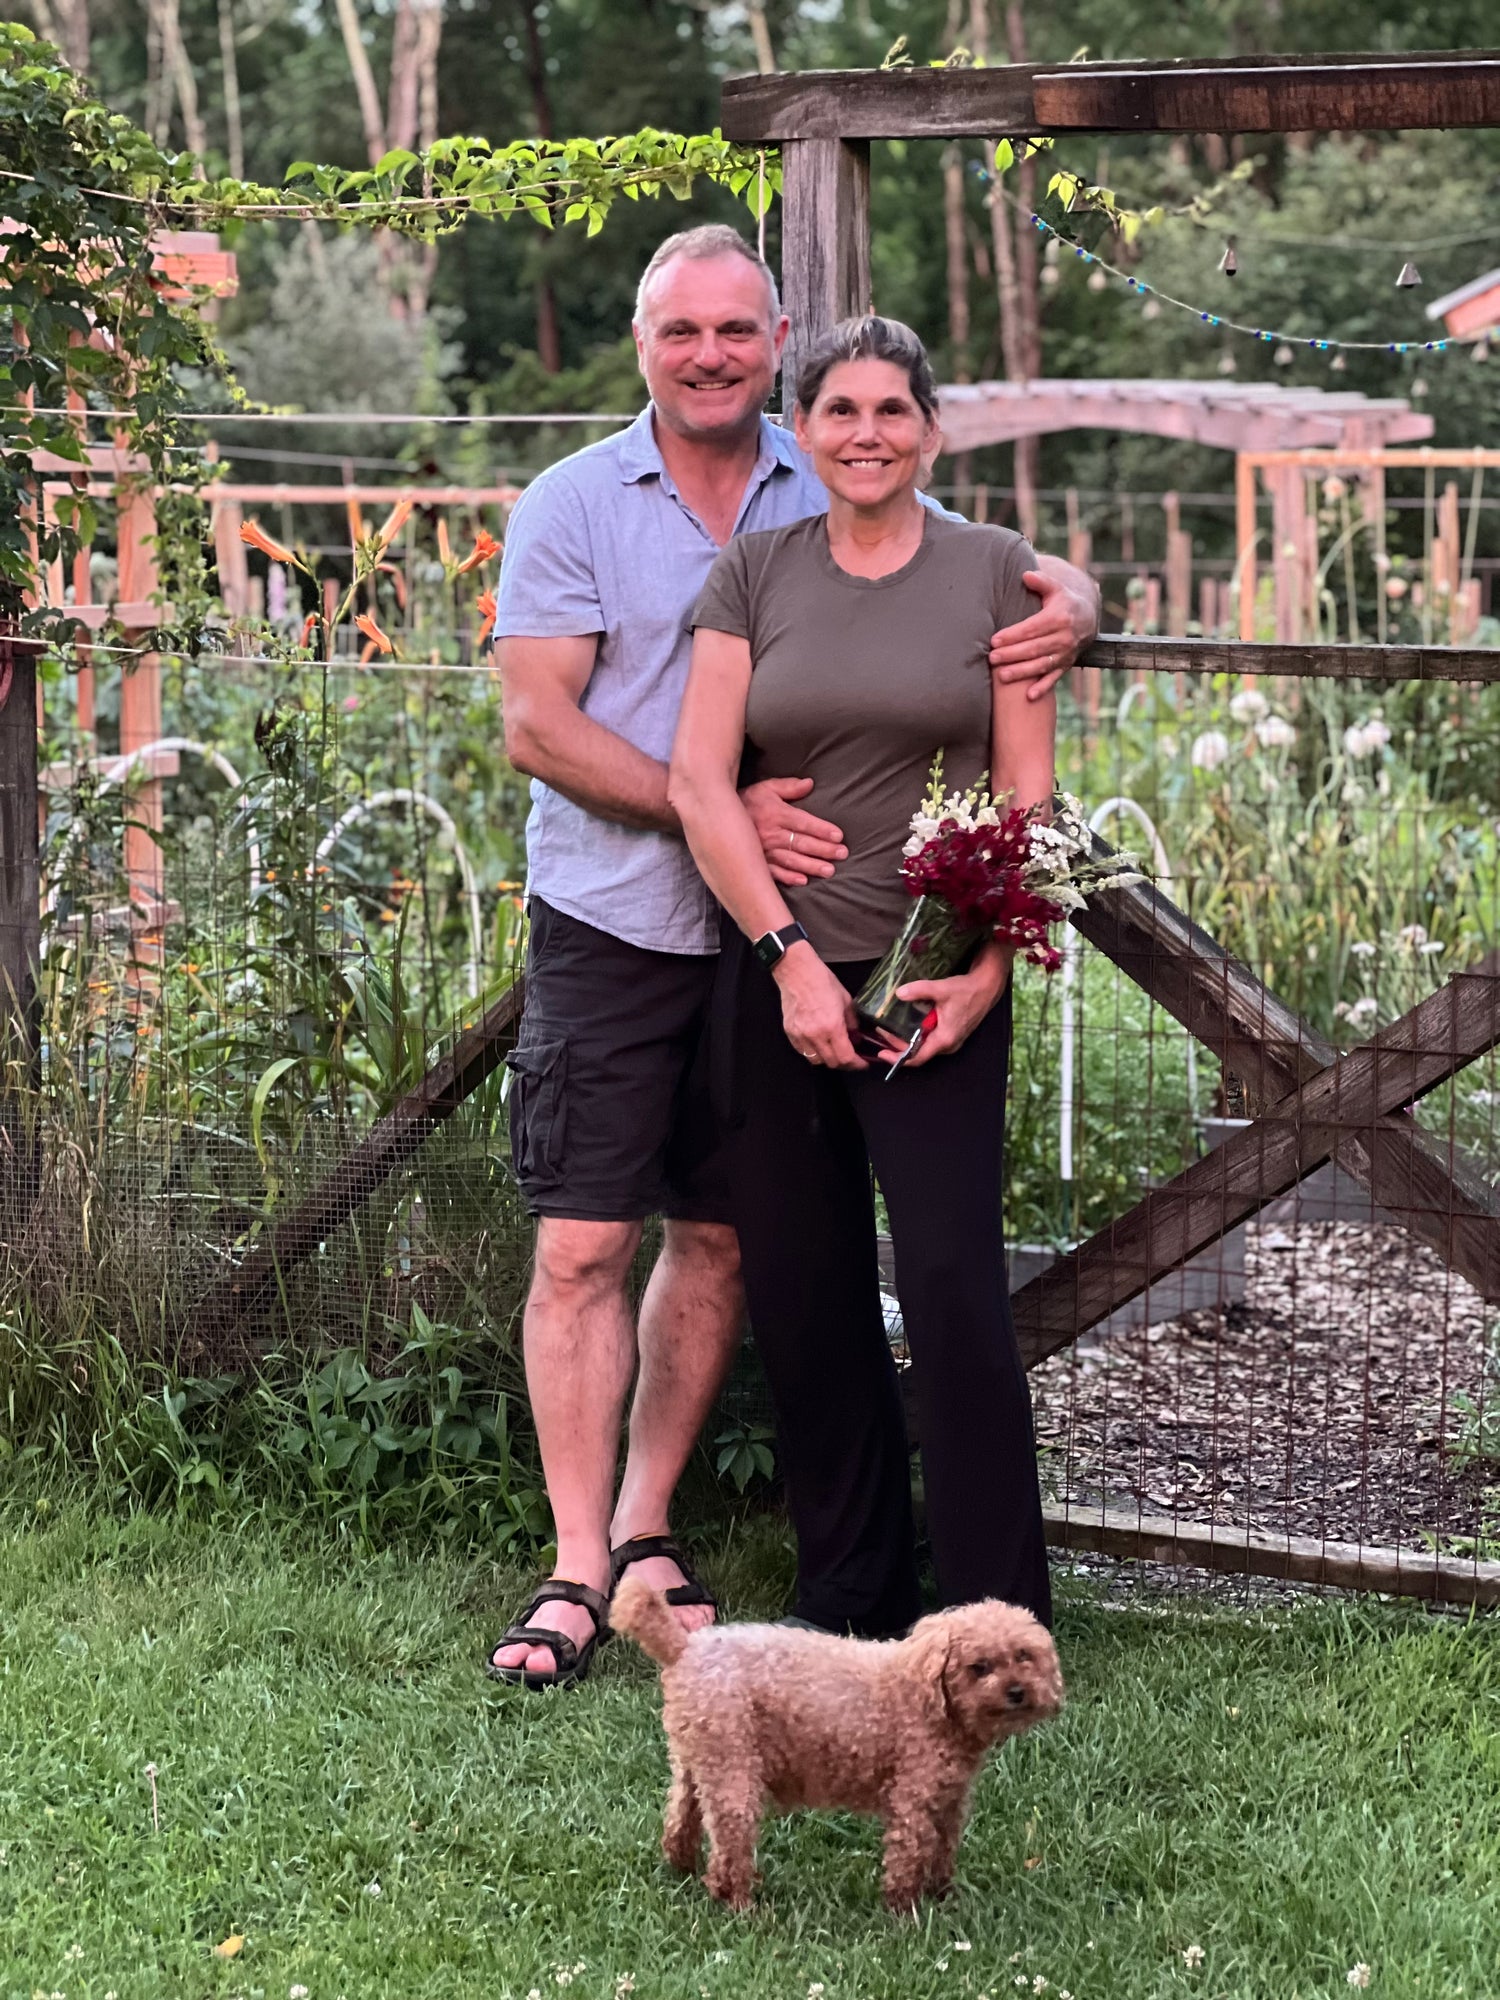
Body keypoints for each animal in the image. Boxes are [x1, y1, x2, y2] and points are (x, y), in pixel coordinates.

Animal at [610, 1580, 1063, 1912]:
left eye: (1024, 1656)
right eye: (978, 1668)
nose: (1017, 1691)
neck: (932, 1702)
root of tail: (684, 1648)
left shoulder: (949, 1802)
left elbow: (943, 1851)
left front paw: (945, 1897)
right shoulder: (913, 1799)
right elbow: (909, 1857)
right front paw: (906, 1914)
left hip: (697, 1758)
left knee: (680, 1818)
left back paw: (682, 1869)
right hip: (734, 1770)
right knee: (728, 1852)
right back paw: (740, 1905)